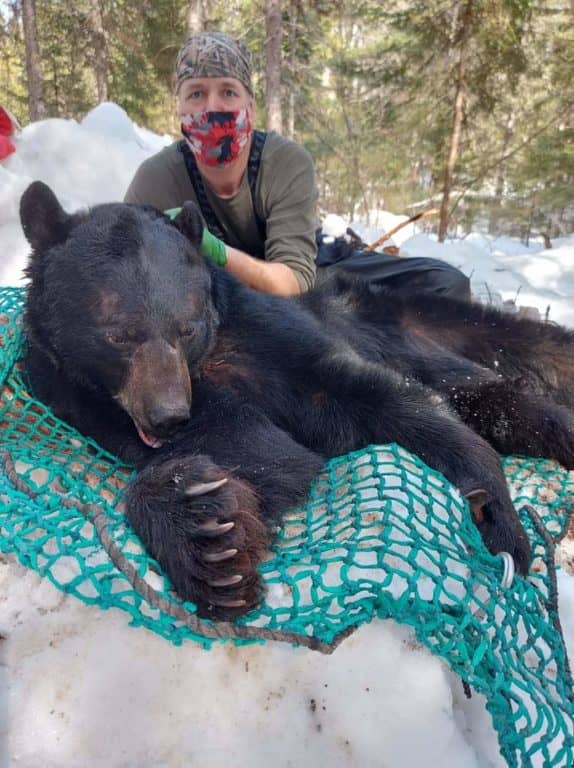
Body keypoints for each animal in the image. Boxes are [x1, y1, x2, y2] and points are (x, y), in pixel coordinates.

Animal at [19, 183, 574, 620]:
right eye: (117, 334)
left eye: (187, 327)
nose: (167, 415)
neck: (212, 358)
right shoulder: (80, 397)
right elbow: (261, 452)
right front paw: (206, 535)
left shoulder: (271, 333)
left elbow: (371, 394)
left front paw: (497, 519)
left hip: (422, 335)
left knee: (502, 392)